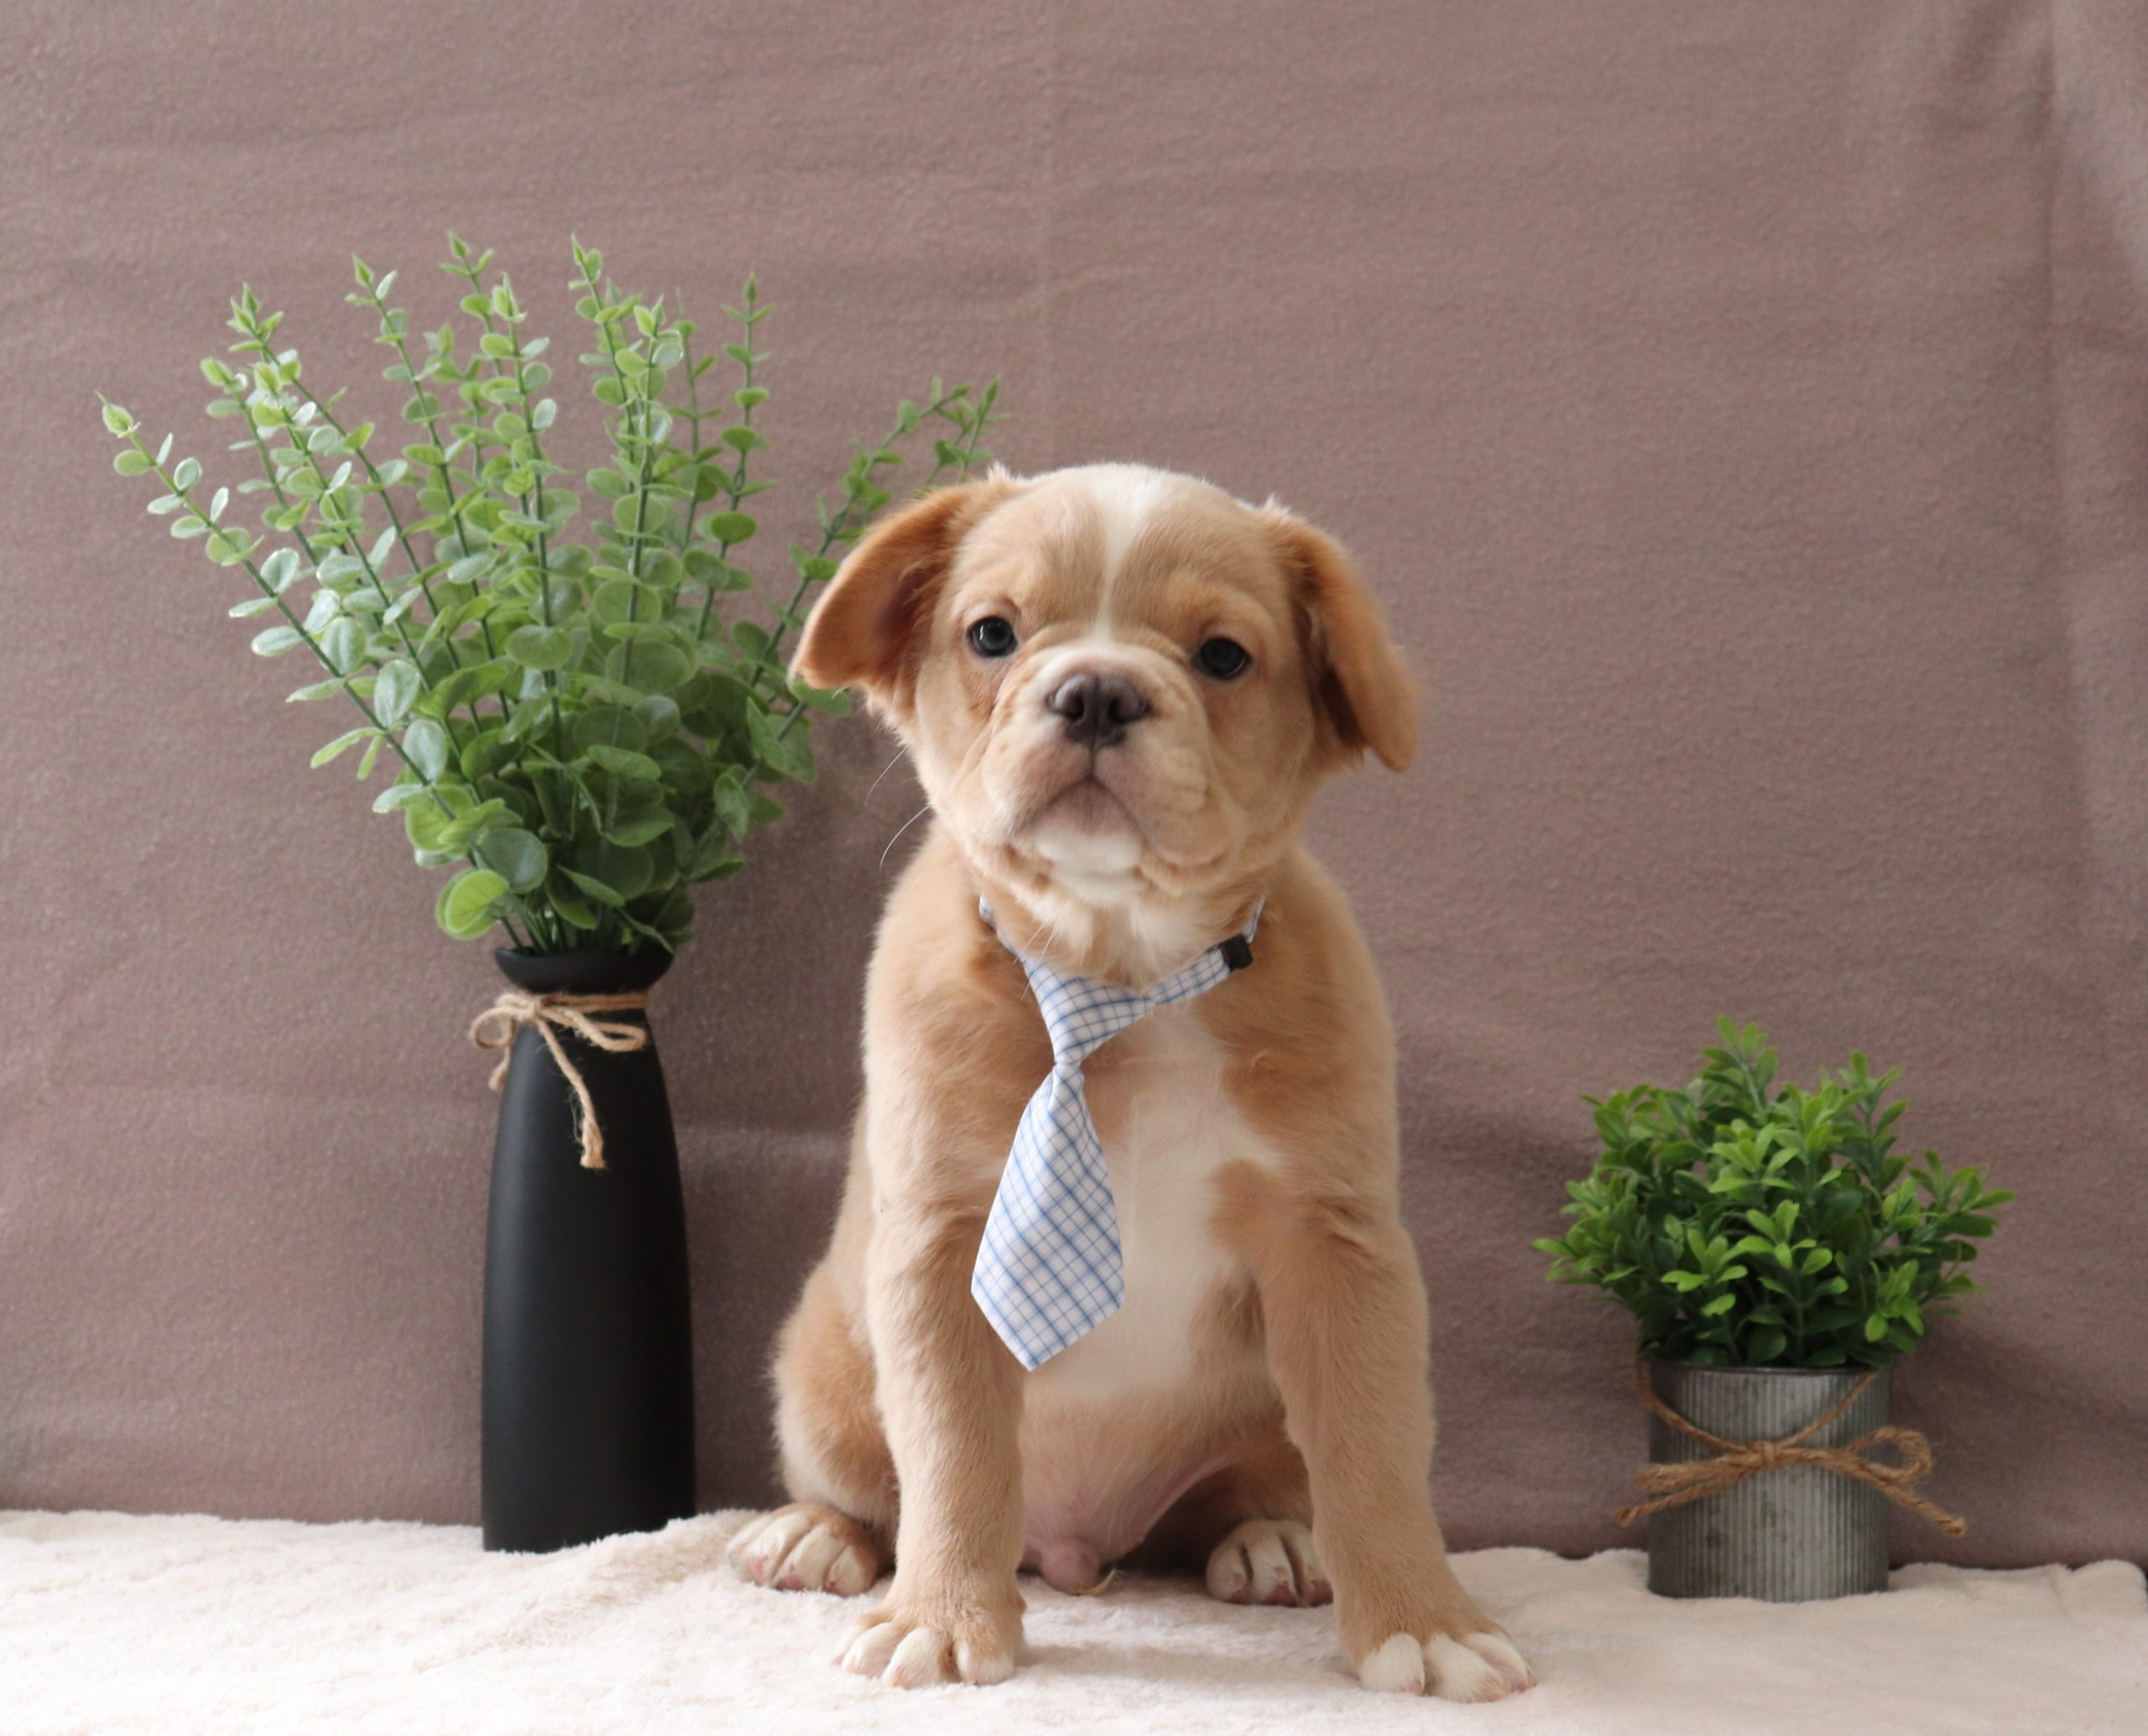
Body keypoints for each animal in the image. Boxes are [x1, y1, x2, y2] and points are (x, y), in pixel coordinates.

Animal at [726, 463, 1534, 1702]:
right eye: (993, 634)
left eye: (1224, 656)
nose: (1097, 691)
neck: (1116, 975)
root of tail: (1072, 1549)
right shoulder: (942, 1245)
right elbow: (954, 1454)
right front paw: (944, 1618)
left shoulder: (1339, 1248)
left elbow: (1375, 1453)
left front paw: (1423, 1620)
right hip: (820, 1371)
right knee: (868, 1487)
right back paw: (820, 1533)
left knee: (1249, 1495)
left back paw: (1273, 1539)